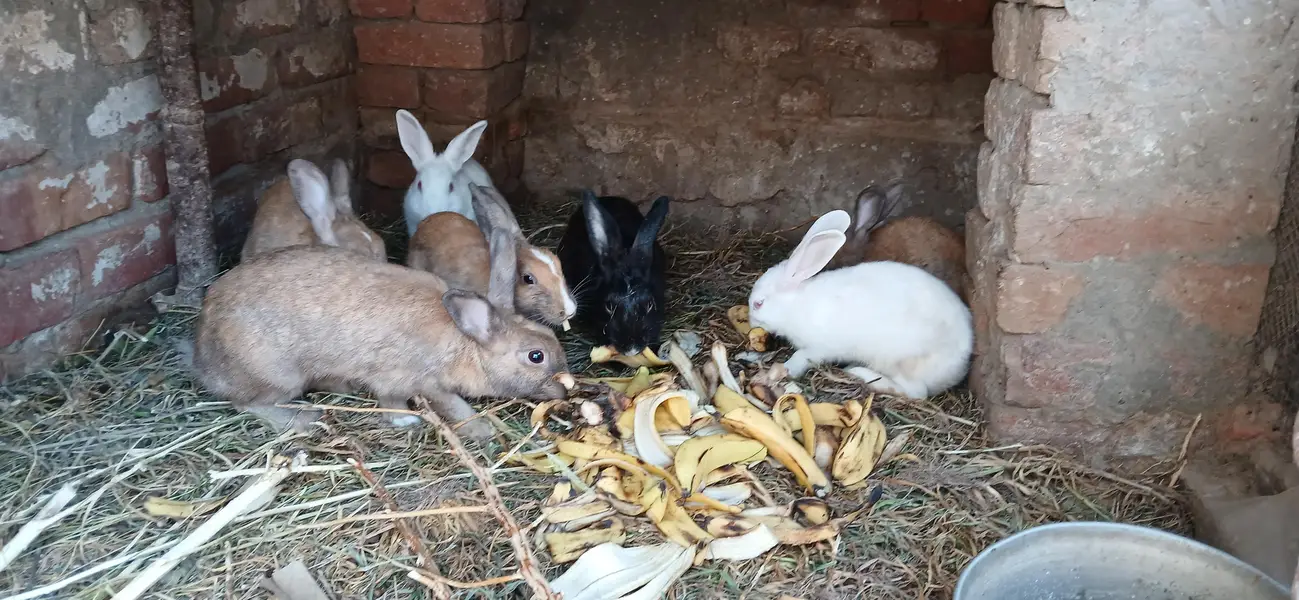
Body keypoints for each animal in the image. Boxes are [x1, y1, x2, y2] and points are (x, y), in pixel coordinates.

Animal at [192, 239, 570, 440]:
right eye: (535, 356)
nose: (565, 391)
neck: (464, 340)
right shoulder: (415, 380)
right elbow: (442, 405)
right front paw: (477, 429)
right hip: (279, 375)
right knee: (248, 404)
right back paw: (303, 419)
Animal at [747, 209, 973, 399]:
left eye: (758, 304)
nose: (750, 322)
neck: (794, 305)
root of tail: (961, 365)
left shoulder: (819, 348)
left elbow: (801, 357)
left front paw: (787, 369)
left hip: (898, 360)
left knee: (916, 392)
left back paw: (860, 374)